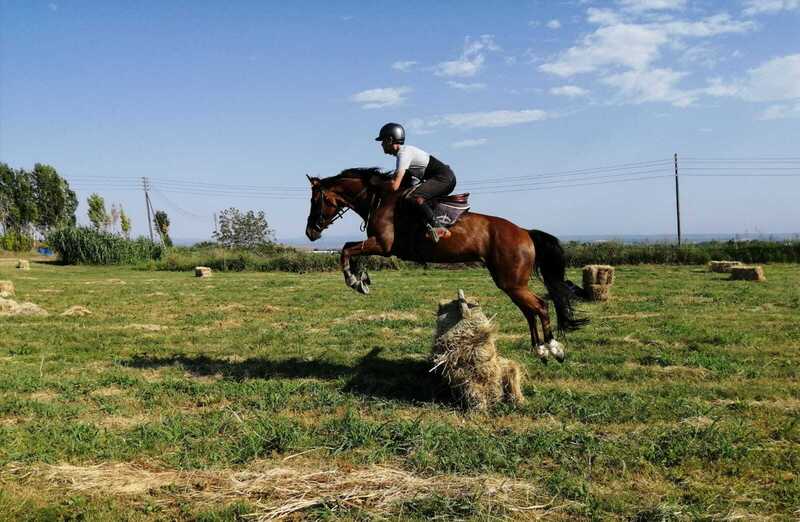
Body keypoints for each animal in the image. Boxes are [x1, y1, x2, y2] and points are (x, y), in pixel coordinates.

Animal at [304, 167, 587, 362]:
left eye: (315, 201)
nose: (310, 232)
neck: (379, 198)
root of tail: (525, 233)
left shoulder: (383, 245)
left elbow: (346, 249)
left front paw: (353, 280)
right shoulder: (378, 245)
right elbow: (351, 249)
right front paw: (361, 280)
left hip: (512, 282)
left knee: (540, 306)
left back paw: (553, 348)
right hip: (509, 282)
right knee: (530, 311)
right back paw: (539, 350)